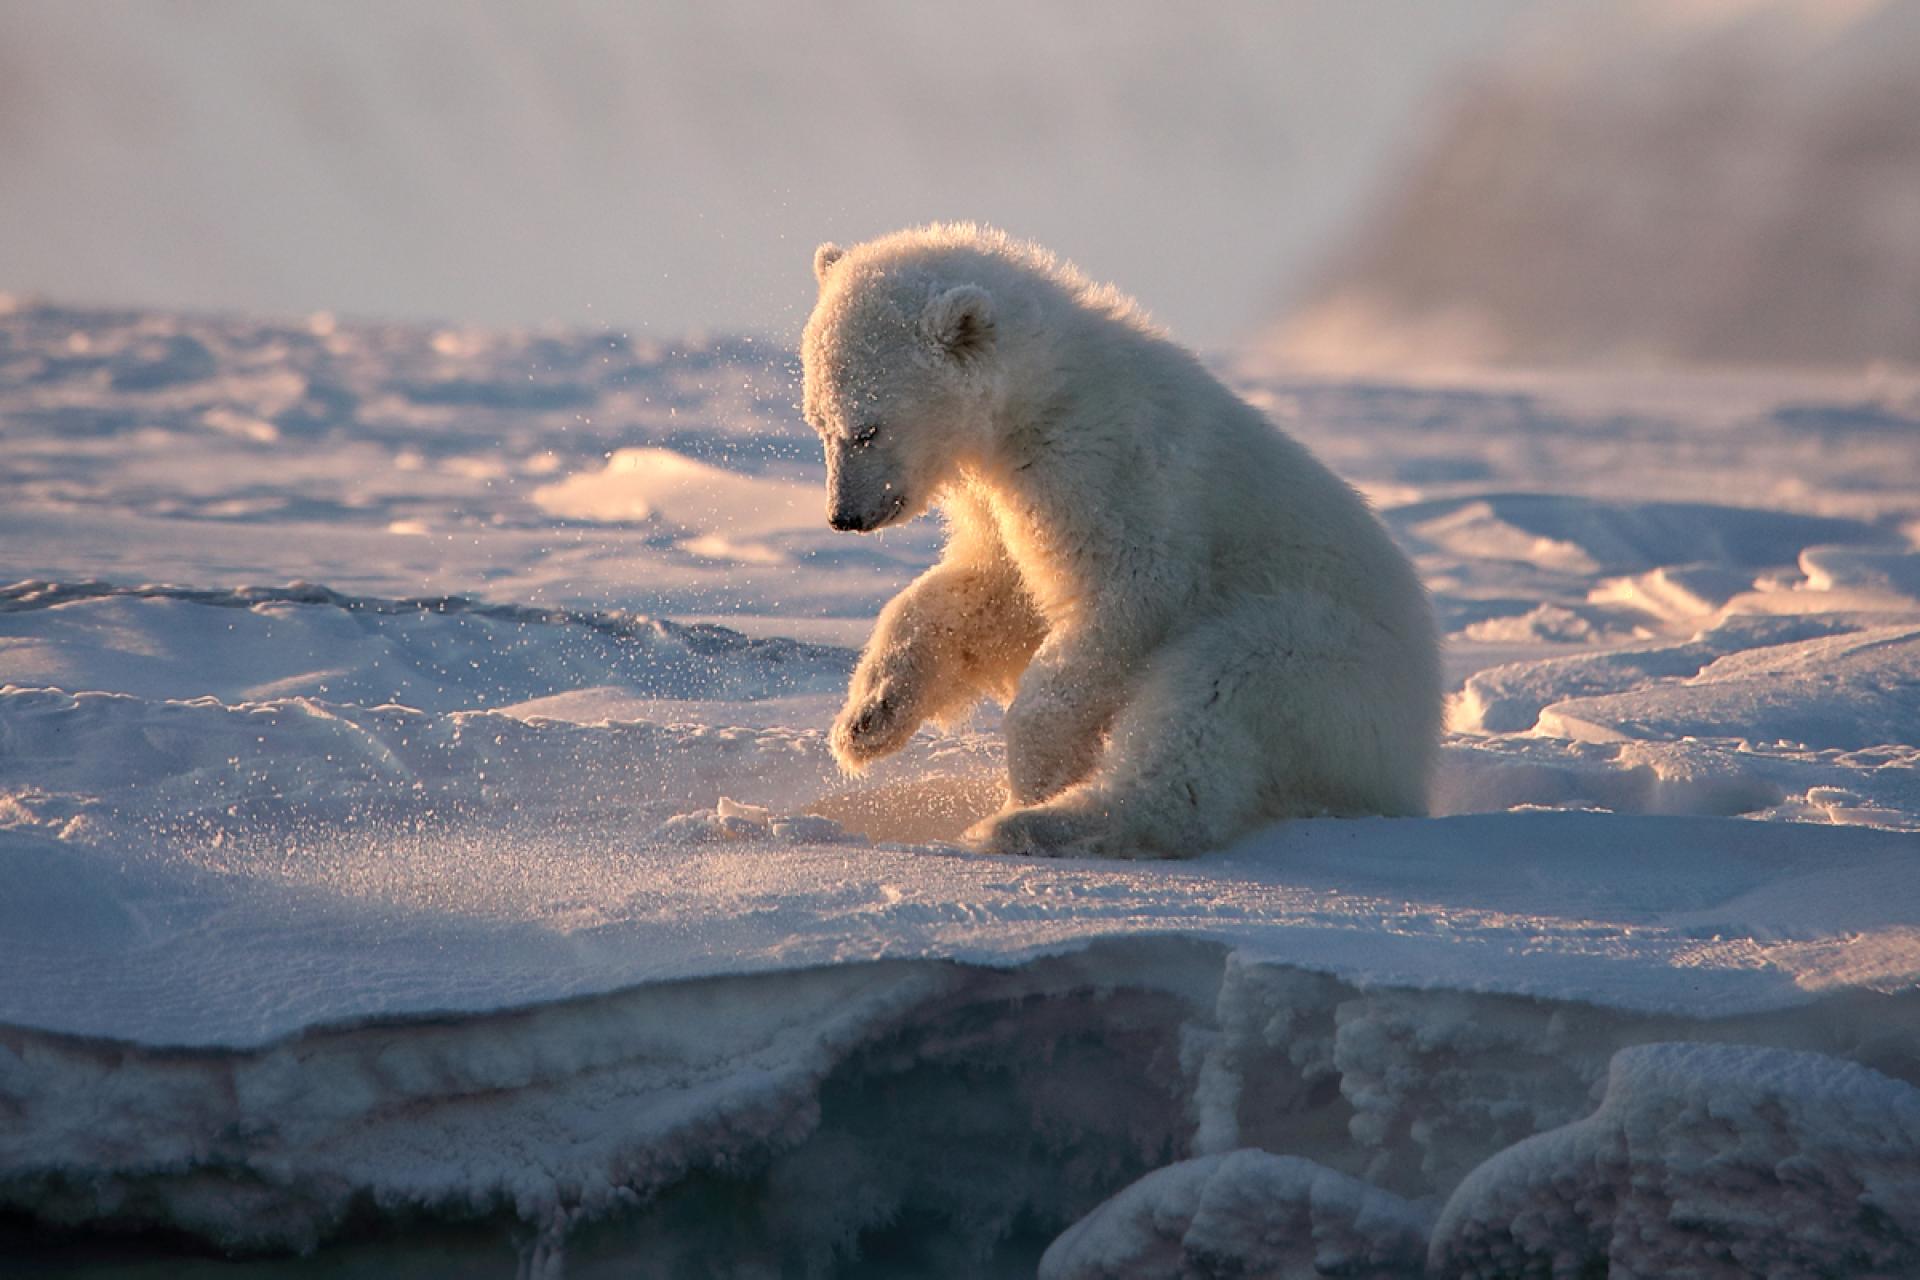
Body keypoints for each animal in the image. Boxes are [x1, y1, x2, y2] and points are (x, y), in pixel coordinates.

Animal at [798, 224, 1443, 855]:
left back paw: (1032, 826)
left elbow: (1127, 592)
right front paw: (868, 718)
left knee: (1211, 707)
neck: (1048, 396)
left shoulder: (1105, 471)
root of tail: (1411, 764)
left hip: (1318, 655)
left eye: (868, 428)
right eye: (818, 422)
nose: (844, 517)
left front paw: (1035, 775)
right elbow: (988, 590)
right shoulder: (1002, 499)